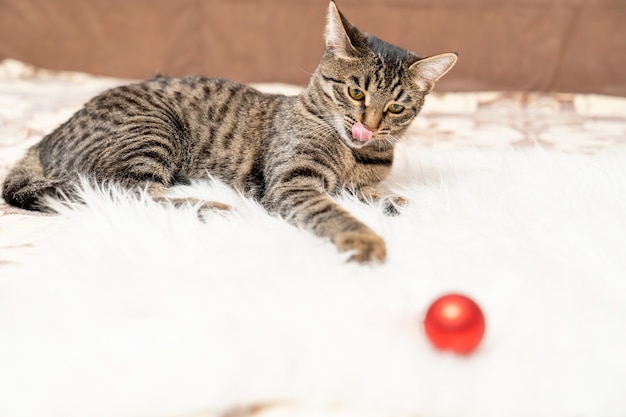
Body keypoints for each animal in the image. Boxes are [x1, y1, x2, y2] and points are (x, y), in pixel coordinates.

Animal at [2, 1, 456, 264]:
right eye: (355, 91)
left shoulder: (359, 186)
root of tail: (46, 140)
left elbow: (385, 197)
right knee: (125, 193)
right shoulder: (294, 182)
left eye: (396, 107)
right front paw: (363, 238)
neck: (355, 154)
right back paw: (212, 206)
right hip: (153, 130)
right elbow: (332, 211)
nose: (369, 125)